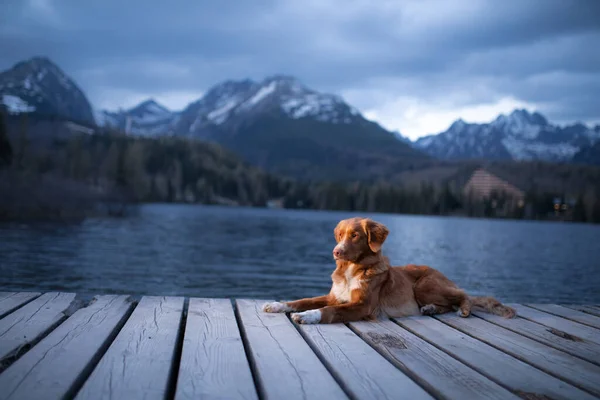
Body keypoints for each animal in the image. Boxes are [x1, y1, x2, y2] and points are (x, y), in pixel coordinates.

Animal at [262, 217, 516, 324]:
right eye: (340, 235)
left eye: (355, 235)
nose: (336, 252)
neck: (351, 271)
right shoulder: (334, 296)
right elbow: (303, 300)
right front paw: (277, 305)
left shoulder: (363, 306)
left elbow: (329, 310)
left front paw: (308, 316)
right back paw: (431, 309)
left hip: (425, 285)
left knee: (463, 295)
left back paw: (463, 309)